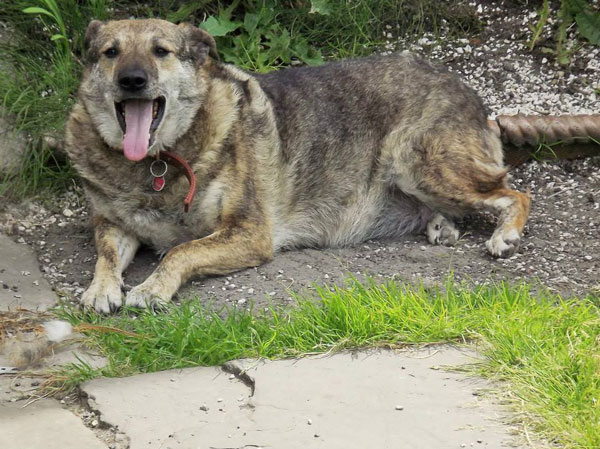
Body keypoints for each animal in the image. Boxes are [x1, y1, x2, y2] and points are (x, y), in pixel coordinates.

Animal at [64, 18, 528, 312]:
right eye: (110, 53)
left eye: (160, 51)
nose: (132, 80)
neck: (157, 161)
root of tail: (465, 88)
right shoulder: (113, 224)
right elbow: (106, 253)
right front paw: (101, 289)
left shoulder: (250, 233)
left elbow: (181, 250)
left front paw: (152, 287)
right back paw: (440, 224)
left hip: (417, 162)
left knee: (515, 193)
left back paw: (505, 234)